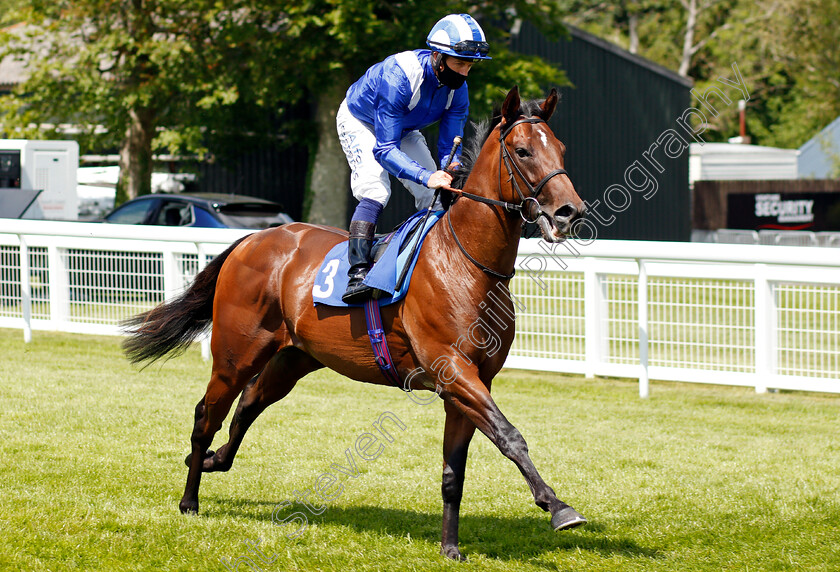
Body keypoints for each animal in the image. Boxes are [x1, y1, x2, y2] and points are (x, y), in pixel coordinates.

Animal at [123, 87, 584, 560]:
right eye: (523, 151)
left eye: (561, 148)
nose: (571, 212)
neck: (465, 262)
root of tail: (252, 239)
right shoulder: (454, 371)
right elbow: (510, 436)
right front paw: (558, 507)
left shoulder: (473, 380)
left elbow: (454, 471)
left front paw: (450, 547)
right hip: (236, 354)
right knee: (206, 415)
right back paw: (189, 498)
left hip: (293, 358)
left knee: (249, 404)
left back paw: (216, 460)